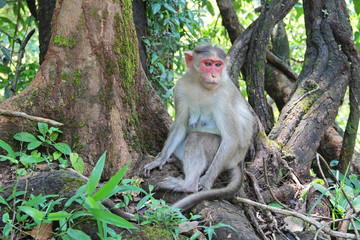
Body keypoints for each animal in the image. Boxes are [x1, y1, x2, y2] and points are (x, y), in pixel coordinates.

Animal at [142, 43, 255, 210]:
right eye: (207, 63)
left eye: (218, 65)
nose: (214, 75)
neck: (202, 86)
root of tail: (240, 161)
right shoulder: (181, 87)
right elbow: (180, 125)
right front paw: (160, 159)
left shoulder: (223, 96)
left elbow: (230, 139)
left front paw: (206, 181)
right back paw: (176, 161)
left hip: (229, 157)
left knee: (197, 137)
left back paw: (187, 185)